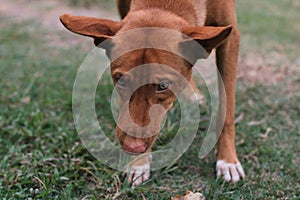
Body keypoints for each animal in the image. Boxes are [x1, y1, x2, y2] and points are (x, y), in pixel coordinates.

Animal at [59, 0, 245, 186]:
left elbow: (227, 108)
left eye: (163, 86)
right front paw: (139, 163)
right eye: (121, 80)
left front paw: (227, 160)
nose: (132, 147)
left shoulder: (231, 38)